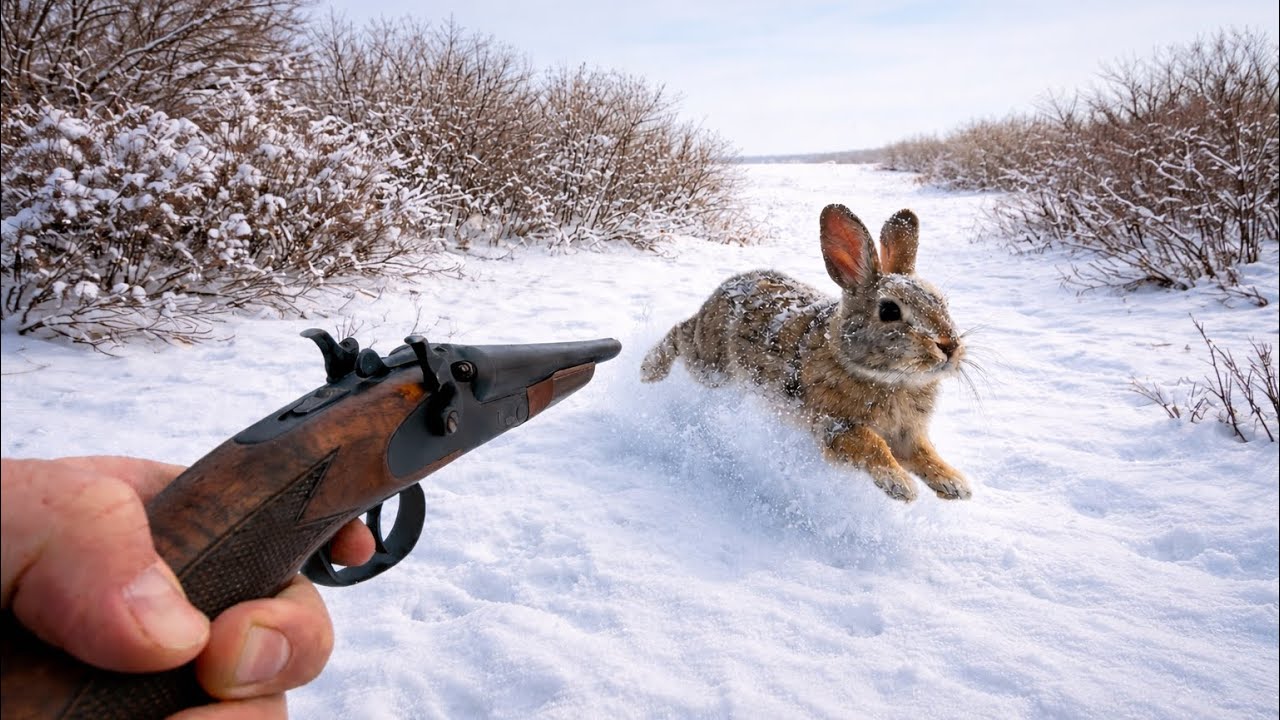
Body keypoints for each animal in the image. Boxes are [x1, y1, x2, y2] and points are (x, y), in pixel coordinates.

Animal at [641, 204, 971, 502]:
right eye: (889, 311)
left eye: (942, 303)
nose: (950, 346)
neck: (889, 379)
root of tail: (724, 288)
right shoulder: (835, 424)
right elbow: (872, 444)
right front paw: (899, 484)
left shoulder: (908, 434)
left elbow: (925, 453)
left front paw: (955, 484)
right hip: (710, 366)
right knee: (680, 335)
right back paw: (649, 369)